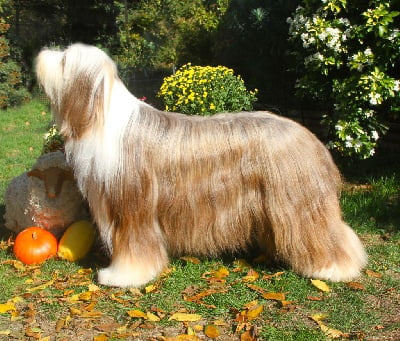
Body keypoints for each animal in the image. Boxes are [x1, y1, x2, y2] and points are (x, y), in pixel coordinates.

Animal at [36, 43, 368, 286]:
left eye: (64, 59)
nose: (41, 55)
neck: (101, 114)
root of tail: (309, 137)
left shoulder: (132, 208)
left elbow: (134, 247)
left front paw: (121, 277)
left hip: (298, 204)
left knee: (326, 236)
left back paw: (335, 269)